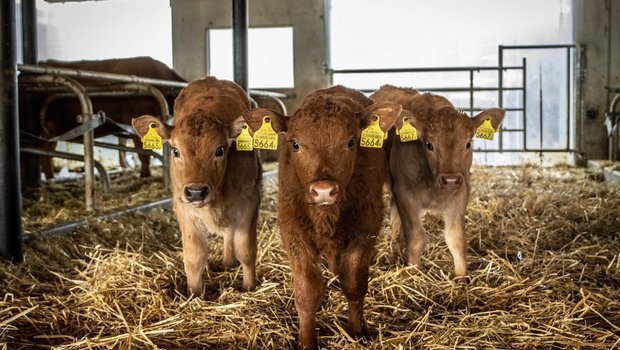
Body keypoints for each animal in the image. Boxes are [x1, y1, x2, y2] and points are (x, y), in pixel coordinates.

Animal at [133, 76, 262, 296]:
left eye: (219, 150)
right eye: (175, 151)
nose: (195, 192)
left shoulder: (250, 202)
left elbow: (246, 250)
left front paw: (249, 287)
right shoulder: (184, 208)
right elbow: (194, 257)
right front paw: (194, 294)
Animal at [240, 85, 400, 350]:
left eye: (351, 141)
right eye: (295, 144)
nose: (324, 190)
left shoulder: (366, 226)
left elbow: (354, 284)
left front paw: (356, 331)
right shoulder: (293, 230)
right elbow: (307, 291)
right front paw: (306, 341)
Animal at [370, 84, 502, 276]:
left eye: (468, 144)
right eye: (429, 145)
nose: (450, 180)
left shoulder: (461, 192)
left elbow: (456, 239)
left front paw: (462, 278)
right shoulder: (405, 192)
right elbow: (416, 237)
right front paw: (414, 273)